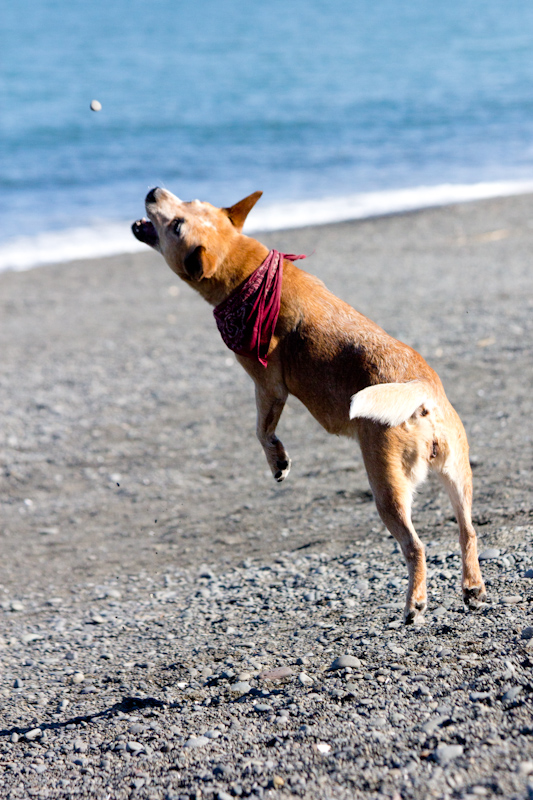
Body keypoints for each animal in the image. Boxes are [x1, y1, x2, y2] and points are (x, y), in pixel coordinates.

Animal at [133, 189, 486, 624]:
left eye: (177, 225)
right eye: (193, 201)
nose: (153, 192)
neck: (246, 272)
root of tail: (419, 388)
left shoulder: (268, 386)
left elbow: (262, 430)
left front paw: (278, 461)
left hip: (387, 489)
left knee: (415, 547)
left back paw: (414, 605)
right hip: (458, 475)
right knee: (468, 531)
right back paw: (472, 588)